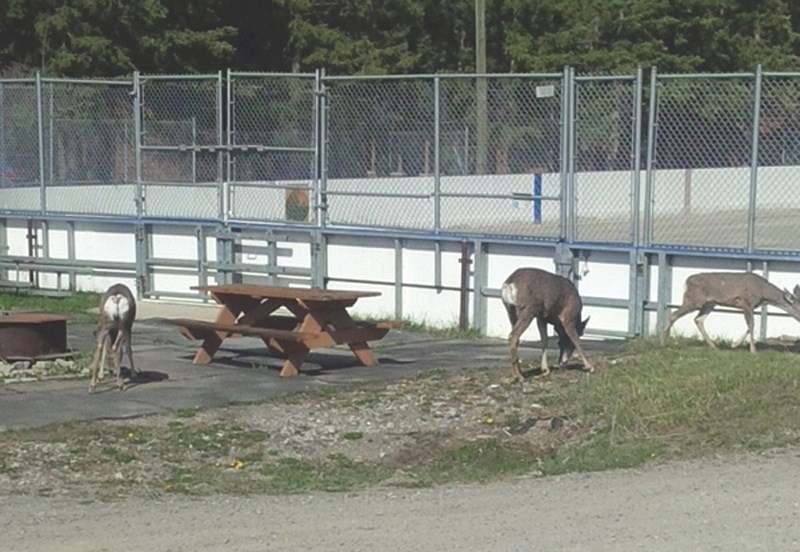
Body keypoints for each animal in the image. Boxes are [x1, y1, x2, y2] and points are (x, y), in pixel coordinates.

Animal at [660, 272, 800, 354]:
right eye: (798, 308)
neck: (763, 293)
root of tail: (686, 282)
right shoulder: (746, 302)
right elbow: (751, 325)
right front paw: (753, 350)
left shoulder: (750, 306)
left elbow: (749, 326)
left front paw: (734, 345)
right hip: (693, 300)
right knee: (673, 314)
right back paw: (663, 342)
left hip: (709, 303)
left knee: (698, 319)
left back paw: (714, 346)